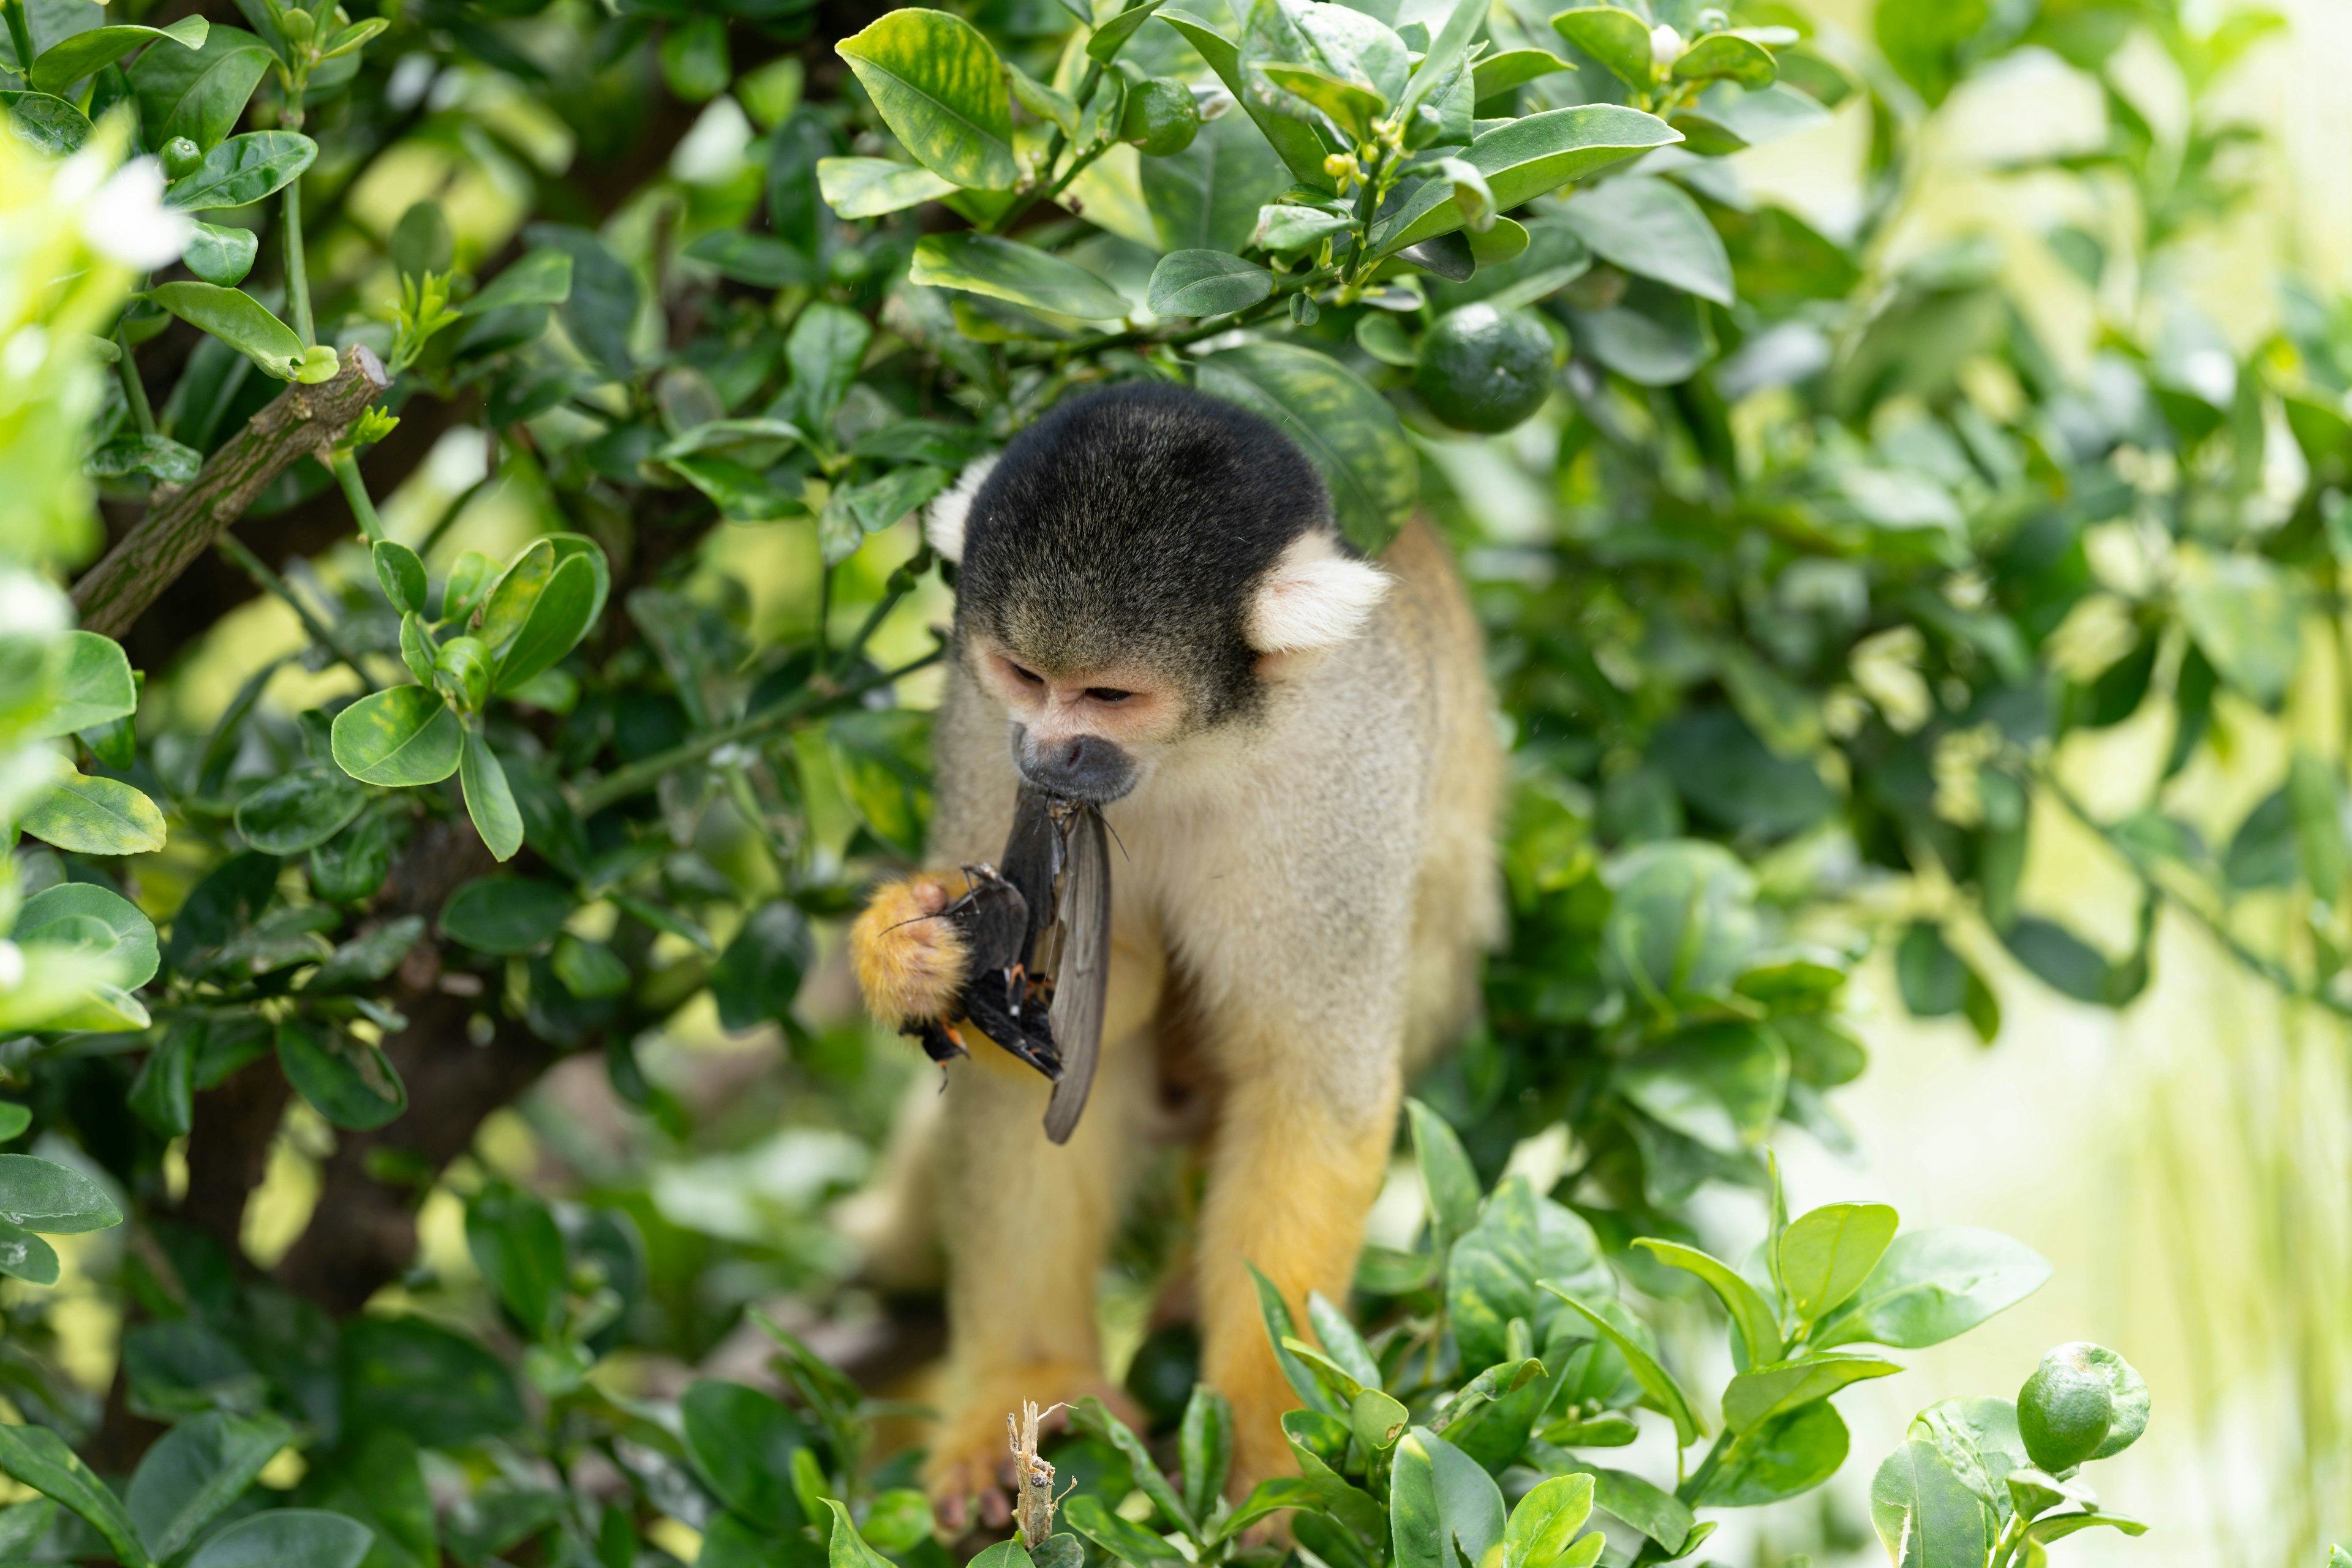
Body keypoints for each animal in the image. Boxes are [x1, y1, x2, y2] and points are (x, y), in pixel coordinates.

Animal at [856, 385, 1496, 1523]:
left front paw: (1269, 1448)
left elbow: (1313, 1090)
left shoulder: (1343, 777)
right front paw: (917, 951)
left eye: (1108, 697)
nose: (1044, 753)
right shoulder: (979, 723)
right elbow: (1038, 1046)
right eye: (1026, 676)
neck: (1188, 755)